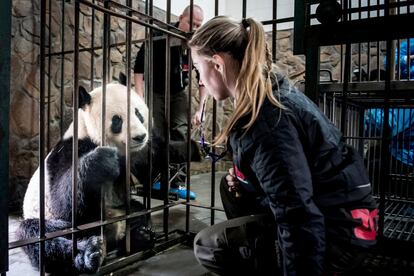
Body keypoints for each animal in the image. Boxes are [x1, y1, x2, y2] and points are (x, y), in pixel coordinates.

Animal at [15, 83, 155, 274]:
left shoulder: (130, 161)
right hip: (65, 223)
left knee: (138, 211)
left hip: (121, 210)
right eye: (117, 120)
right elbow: (63, 201)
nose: (140, 137)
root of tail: (109, 234)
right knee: (40, 235)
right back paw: (89, 253)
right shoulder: (68, 151)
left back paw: (139, 235)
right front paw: (103, 161)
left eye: (138, 113)